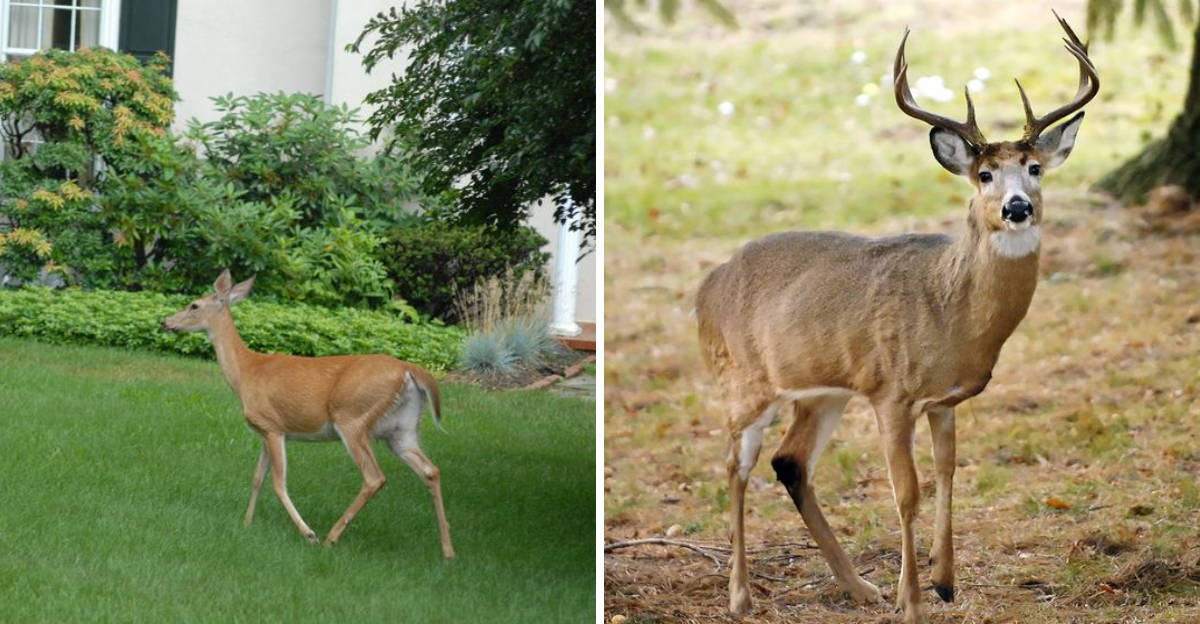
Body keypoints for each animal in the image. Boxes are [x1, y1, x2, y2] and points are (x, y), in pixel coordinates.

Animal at [161, 270, 455, 559]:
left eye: (194, 305)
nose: (165, 322)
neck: (245, 372)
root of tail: (410, 370)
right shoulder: (264, 431)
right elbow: (257, 478)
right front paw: (246, 523)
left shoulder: (273, 426)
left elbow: (278, 483)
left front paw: (308, 534)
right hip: (402, 429)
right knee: (431, 470)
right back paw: (448, 551)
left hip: (353, 418)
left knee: (374, 477)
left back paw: (331, 538)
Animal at [695, 13, 1097, 623]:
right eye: (984, 175)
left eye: (1034, 168)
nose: (1017, 206)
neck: (949, 309)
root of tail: (705, 287)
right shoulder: (892, 393)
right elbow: (906, 492)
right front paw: (912, 600)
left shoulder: (945, 400)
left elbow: (948, 472)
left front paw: (945, 581)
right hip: (743, 381)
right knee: (734, 465)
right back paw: (741, 596)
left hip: (823, 390)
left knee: (790, 461)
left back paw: (859, 586)